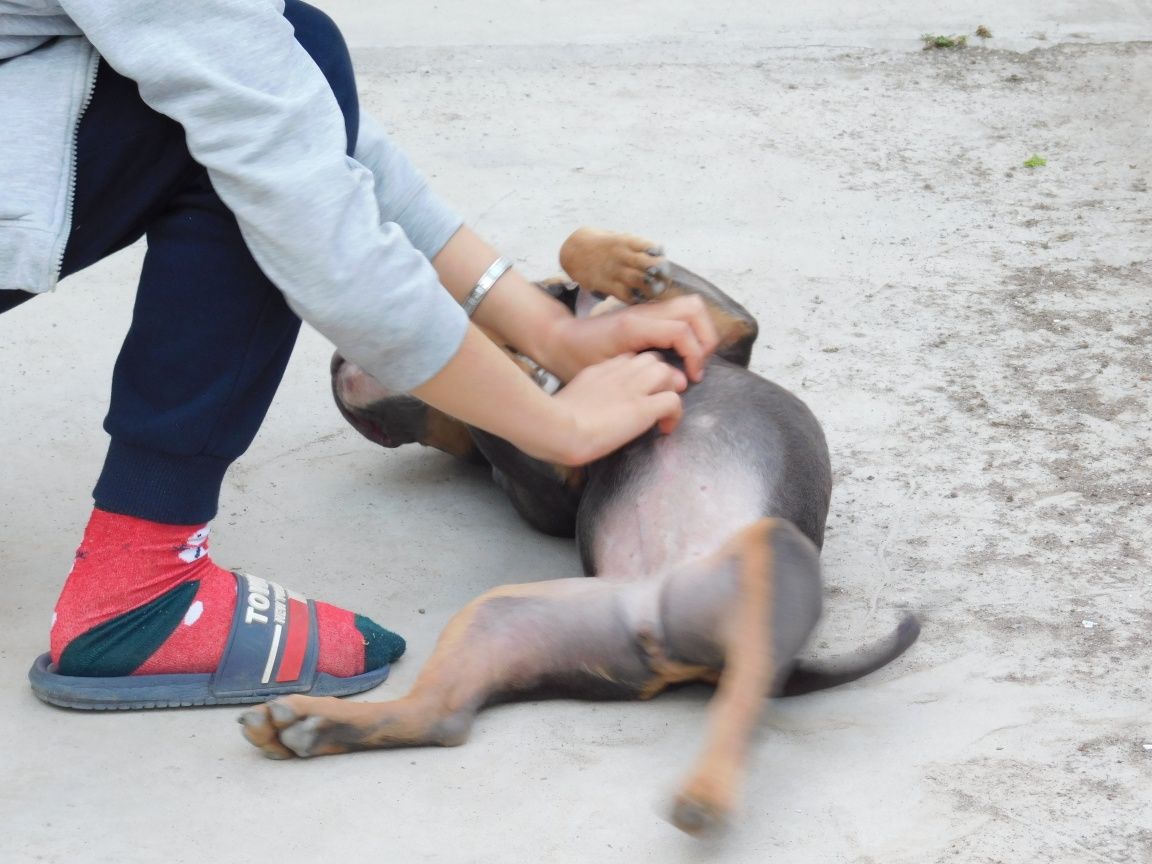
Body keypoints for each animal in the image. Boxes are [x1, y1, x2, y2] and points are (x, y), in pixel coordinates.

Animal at [238, 226, 921, 834]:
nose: (337, 365)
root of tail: (657, 624)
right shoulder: (556, 475)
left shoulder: (723, 324)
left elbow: (578, 256)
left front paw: (618, 266)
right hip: (506, 617)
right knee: (444, 715)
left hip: (757, 562)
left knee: (749, 685)